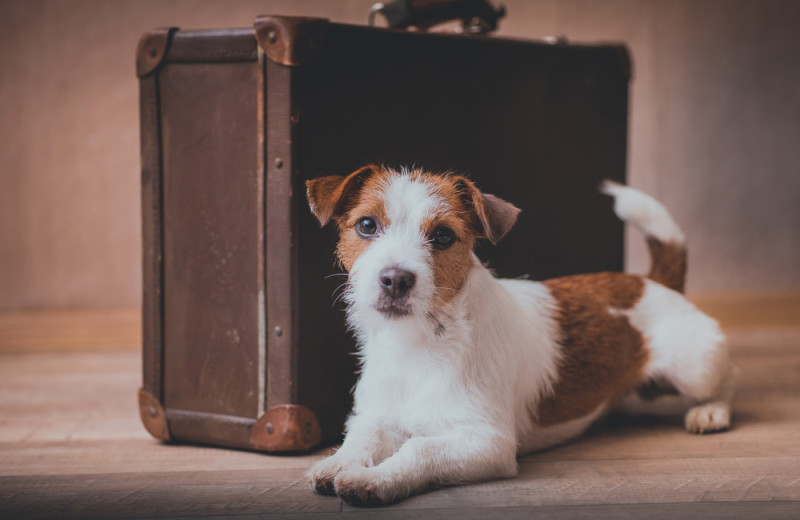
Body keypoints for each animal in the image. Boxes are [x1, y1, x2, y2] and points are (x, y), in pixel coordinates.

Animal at [304, 166, 736, 504]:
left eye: (443, 236)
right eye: (366, 225)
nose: (395, 279)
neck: (418, 342)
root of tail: (652, 281)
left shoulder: (488, 443)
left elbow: (419, 448)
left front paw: (375, 478)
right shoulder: (375, 415)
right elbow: (364, 436)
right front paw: (338, 462)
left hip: (695, 365)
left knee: (724, 380)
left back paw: (710, 411)